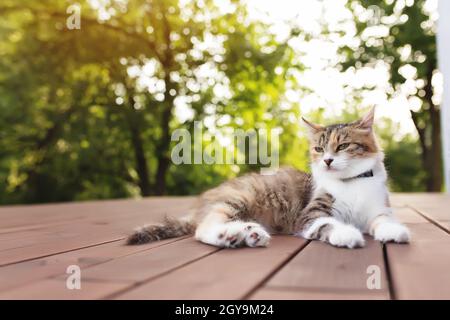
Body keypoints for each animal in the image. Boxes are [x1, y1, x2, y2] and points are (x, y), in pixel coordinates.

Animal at [126, 109, 412, 249]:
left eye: (342, 147)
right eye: (319, 149)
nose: (327, 161)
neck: (352, 183)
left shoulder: (379, 209)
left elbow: (383, 221)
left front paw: (393, 232)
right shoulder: (311, 214)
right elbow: (327, 224)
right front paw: (346, 234)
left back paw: (247, 235)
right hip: (239, 198)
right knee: (204, 228)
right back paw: (231, 235)